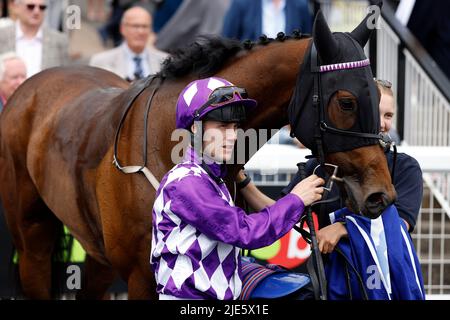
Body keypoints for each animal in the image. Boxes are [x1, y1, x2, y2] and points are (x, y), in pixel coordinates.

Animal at [0, 8, 394, 300]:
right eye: (347, 101)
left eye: (379, 99)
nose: (381, 195)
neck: (167, 141)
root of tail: (32, 86)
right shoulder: (142, 276)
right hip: (31, 237)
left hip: (97, 254)